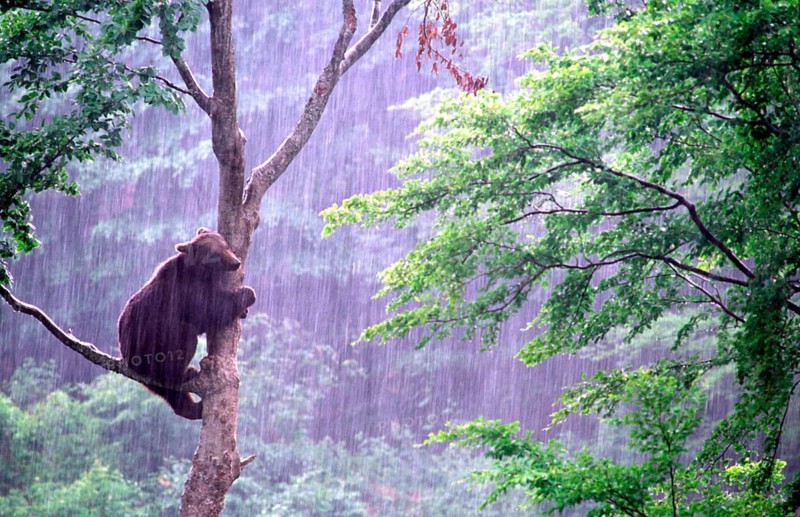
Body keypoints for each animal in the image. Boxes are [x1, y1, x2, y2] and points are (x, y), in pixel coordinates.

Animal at [118, 227, 256, 420]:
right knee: (184, 340)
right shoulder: (185, 291)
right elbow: (209, 311)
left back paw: (193, 408)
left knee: (169, 393)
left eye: (226, 246)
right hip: (153, 342)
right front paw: (247, 293)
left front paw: (244, 310)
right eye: (215, 253)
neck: (201, 272)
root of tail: (128, 360)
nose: (236, 263)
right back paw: (186, 373)